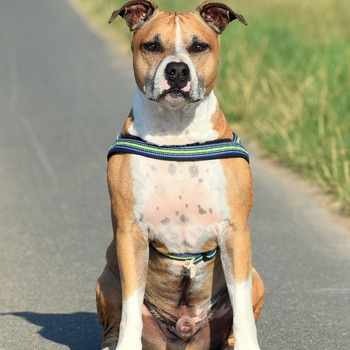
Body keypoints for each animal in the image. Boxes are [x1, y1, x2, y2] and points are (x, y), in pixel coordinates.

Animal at [95, 1, 262, 348]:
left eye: (199, 46)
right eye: (152, 46)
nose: (176, 70)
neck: (176, 135)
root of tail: (184, 331)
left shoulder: (236, 232)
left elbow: (241, 310)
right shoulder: (130, 232)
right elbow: (131, 306)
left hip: (256, 277)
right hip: (107, 277)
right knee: (115, 319)